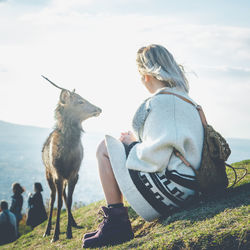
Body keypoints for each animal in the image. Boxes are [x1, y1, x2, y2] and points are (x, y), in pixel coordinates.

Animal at [41, 75, 101, 241]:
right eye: (80, 101)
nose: (99, 108)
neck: (67, 155)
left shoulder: (74, 173)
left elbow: (69, 200)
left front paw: (68, 231)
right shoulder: (57, 174)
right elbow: (60, 203)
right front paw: (56, 234)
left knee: (63, 196)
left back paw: (73, 223)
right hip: (48, 174)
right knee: (53, 198)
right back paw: (47, 230)